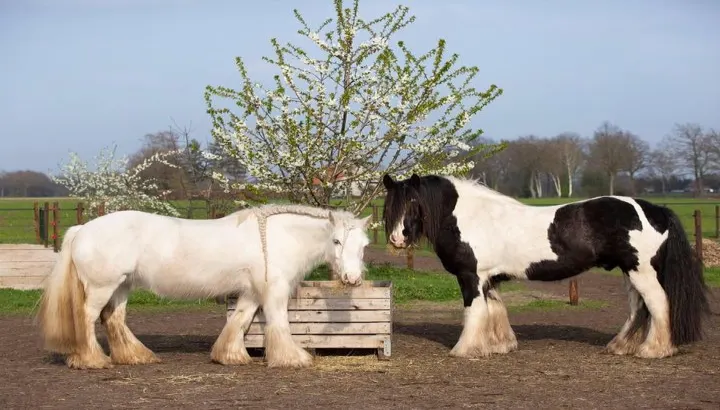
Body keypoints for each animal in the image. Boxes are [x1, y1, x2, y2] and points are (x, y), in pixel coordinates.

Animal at [36, 204, 372, 369]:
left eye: (365, 245)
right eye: (336, 241)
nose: (352, 278)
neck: (278, 235)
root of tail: (82, 229)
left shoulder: (252, 292)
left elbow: (240, 321)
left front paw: (230, 356)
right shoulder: (274, 290)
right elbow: (279, 323)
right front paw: (292, 359)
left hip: (121, 286)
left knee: (113, 318)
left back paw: (135, 356)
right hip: (101, 287)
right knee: (87, 318)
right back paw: (91, 360)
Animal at [381, 173, 709, 359]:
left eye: (413, 202)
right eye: (390, 205)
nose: (397, 238)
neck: (469, 216)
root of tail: (657, 210)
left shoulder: (470, 277)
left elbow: (474, 312)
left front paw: (464, 350)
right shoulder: (489, 279)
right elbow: (495, 311)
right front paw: (500, 346)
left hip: (641, 271)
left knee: (658, 305)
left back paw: (653, 351)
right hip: (631, 273)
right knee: (638, 309)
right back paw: (620, 346)